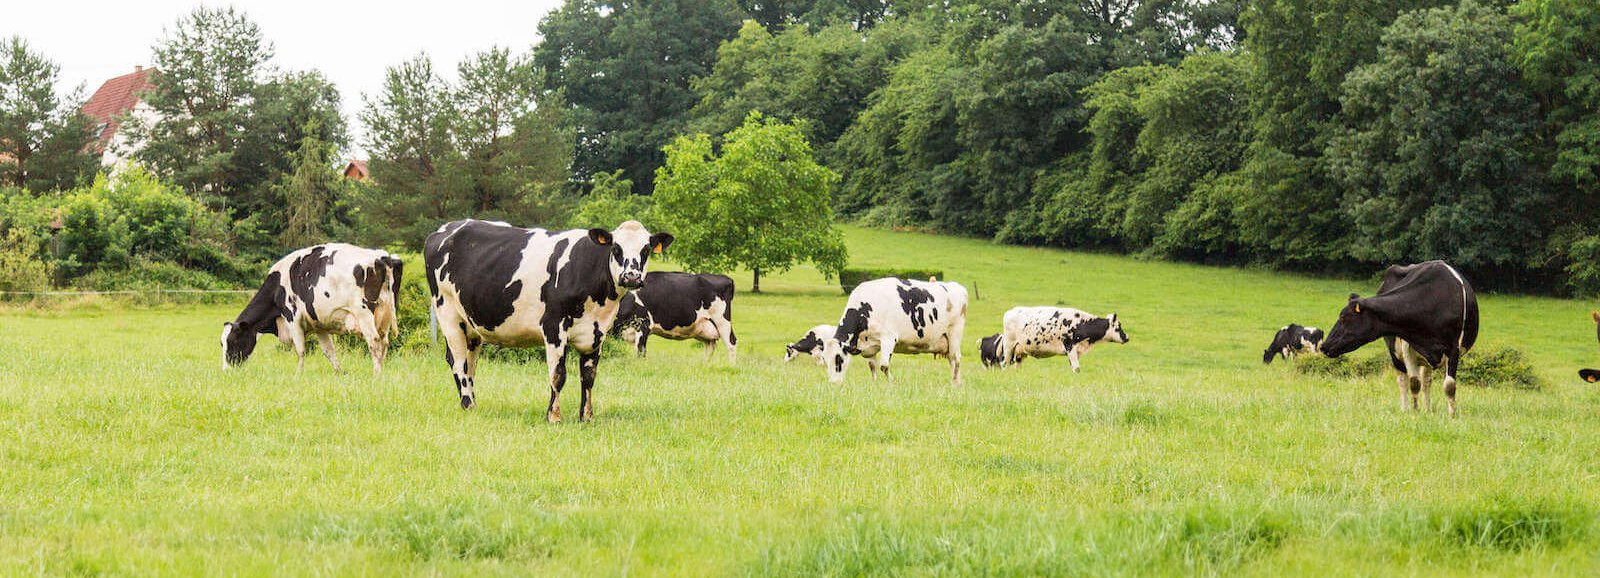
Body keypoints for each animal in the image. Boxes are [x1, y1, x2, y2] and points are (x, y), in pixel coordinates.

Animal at [222, 244, 402, 374]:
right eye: (221, 343)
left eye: (233, 341)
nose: (226, 370)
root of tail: (381, 257)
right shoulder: (319, 325)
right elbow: (329, 351)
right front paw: (340, 372)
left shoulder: (292, 317)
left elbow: (301, 350)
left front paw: (297, 375)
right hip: (386, 314)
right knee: (384, 343)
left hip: (364, 314)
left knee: (374, 342)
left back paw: (376, 374)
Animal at [424, 219, 672, 421]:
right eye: (616, 248)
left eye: (646, 249)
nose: (631, 276)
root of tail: (444, 229)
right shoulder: (554, 326)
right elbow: (558, 374)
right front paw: (553, 416)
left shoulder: (597, 333)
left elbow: (589, 376)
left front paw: (587, 417)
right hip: (447, 312)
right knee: (458, 361)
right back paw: (468, 405)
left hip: (472, 325)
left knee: (470, 363)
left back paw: (471, 402)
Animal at [819, 277, 967, 384]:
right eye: (825, 360)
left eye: (839, 359)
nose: (833, 383)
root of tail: (958, 287)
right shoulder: (869, 346)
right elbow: (872, 366)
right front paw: (874, 383)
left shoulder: (888, 338)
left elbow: (884, 365)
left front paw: (891, 382)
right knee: (952, 360)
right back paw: (957, 382)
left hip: (955, 333)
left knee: (956, 359)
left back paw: (954, 383)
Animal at [990, 306, 1128, 372]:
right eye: (1118, 327)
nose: (1127, 337)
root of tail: (1011, 311)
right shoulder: (1069, 346)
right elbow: (1077, 368)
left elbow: (1074, 368)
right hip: (1009, 345)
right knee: (1004, 363)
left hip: (1019, 351)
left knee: (1016, 366)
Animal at [1321, 260, 1479, 417]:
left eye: (1343, 317)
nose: (1324, 346)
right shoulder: (1407, 345)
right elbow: (1414, 383)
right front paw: (1415, 412)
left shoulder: (1454, 347)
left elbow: (1449, 386)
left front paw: (1451, 415)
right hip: (1395, 354)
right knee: (1403, 380)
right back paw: (1406, 409)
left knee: (1427, 380)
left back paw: (1427, 410)